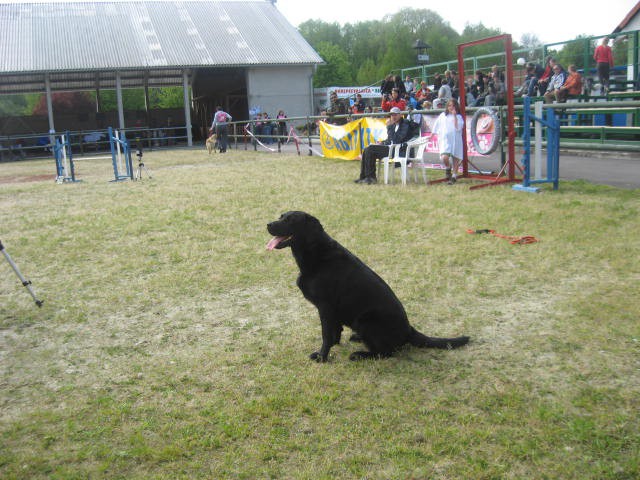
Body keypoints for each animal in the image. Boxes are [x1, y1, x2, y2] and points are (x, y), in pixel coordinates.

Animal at [264, 212, 470, 362]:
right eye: (281, 216)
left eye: (289, 219)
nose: (268, 224)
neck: (316, 254)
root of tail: (409, 329)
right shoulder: (332, 310)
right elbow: (334, 332)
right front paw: (335, 345)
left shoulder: (325, 307)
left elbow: (326, 335)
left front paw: (322, 357)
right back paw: (358, 339)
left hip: (366, 320)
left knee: (387, 352)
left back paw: (360, 354)